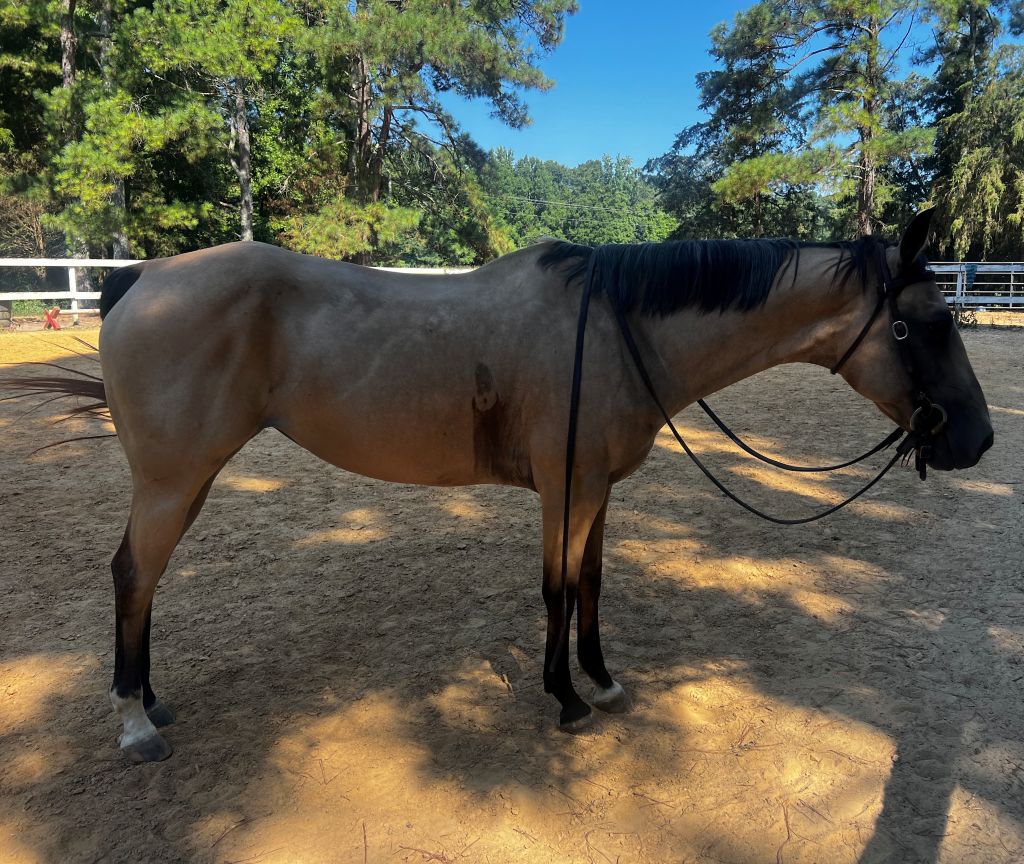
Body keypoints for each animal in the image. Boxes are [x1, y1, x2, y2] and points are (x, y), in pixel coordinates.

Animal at [13, 209, 993, 762]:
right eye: (928, 324)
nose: (979, 440)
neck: (619, 325)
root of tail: (143, 277)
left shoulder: (598, 487)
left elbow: (592, 584)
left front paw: (602, 681)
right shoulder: (565, 487)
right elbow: (556, 588)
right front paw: (564, 700)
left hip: (186, 481)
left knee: (141, 582)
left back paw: (148, 700)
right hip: (170, 480)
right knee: (132, 576)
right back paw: (135, 723)